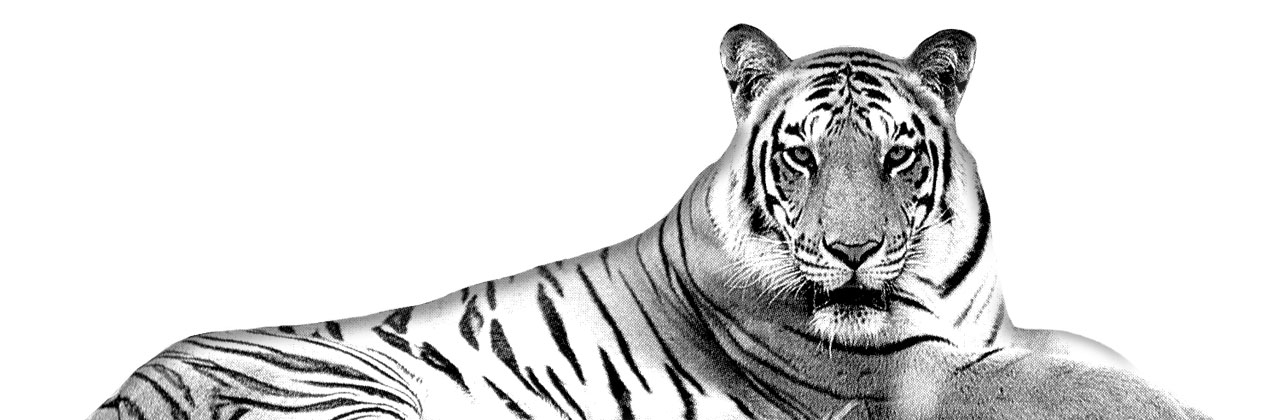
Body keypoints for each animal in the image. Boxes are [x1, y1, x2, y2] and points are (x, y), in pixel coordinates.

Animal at [86, 25, 1208, 420]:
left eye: (896, 155)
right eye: (802, 155)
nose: (848, 253)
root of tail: (130, 386)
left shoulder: (991, 335)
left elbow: (1095, 355)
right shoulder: (914, 377)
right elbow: (1088, 389)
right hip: (352, 394)